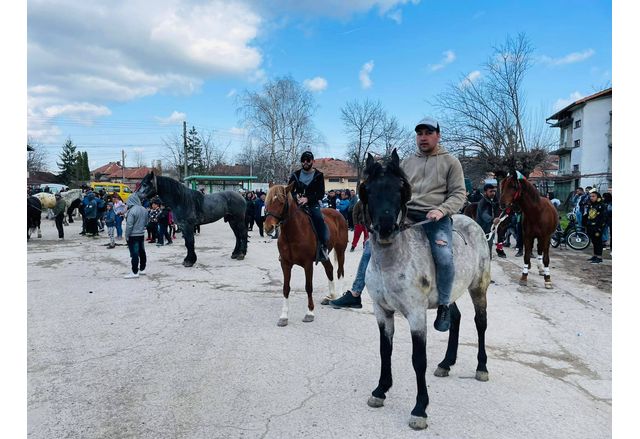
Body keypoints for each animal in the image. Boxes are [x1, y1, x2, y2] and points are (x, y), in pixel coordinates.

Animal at [262, 184, 348, 328]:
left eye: (281, 203)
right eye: (267, 202)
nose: (269, 227)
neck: (292, 233)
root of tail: (337, 213)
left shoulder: (307, 264)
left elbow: (308, 287)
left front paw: (309, 313)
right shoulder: (285, 264)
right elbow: (285, 288)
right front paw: (284, 316)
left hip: (340, 250)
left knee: (339, 271)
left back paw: (339, 296)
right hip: (324, 256)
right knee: (329, 269)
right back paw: (330, 296)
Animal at [360, 150, 490, 430]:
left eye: (399, 189)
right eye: (369, 189)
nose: (385, 228)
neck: (392, 260)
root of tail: (471, 221)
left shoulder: (416, 315)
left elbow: (418, 360)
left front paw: (420, 410)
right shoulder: (381, 311)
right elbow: (384, 350)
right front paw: (380, 391)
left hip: (479, 288)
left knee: (480, 322)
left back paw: (482, 368)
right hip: (450, 292)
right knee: (455, 318)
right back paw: (446, 363)